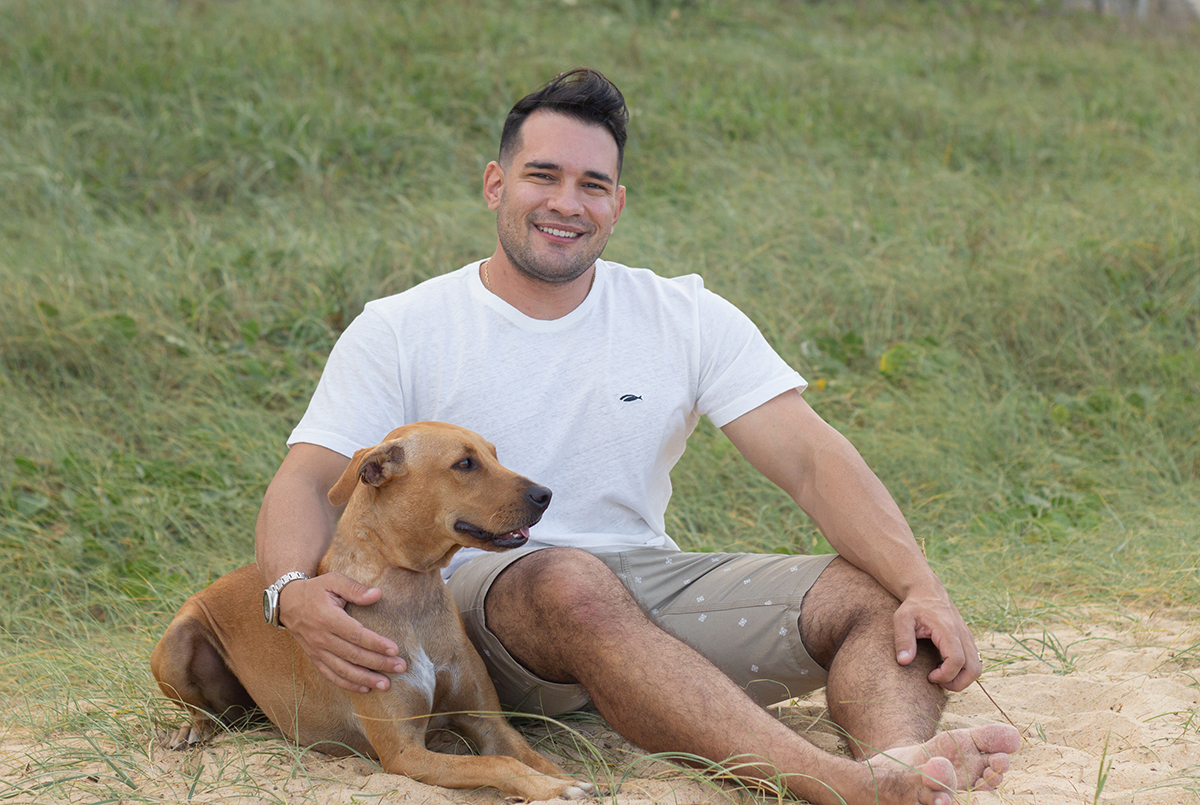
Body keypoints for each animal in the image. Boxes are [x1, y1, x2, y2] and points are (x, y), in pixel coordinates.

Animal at [151, 422, 593, 800]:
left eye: (494, 455)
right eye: (465, 464)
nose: (545, 494)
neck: (411, 593)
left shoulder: (489, 722)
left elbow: (530, 758)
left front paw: (564, 781)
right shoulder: (404, 753)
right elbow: (497, 764)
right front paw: (552, 789)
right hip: (175, 642)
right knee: (206, 711)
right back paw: (192, 729)